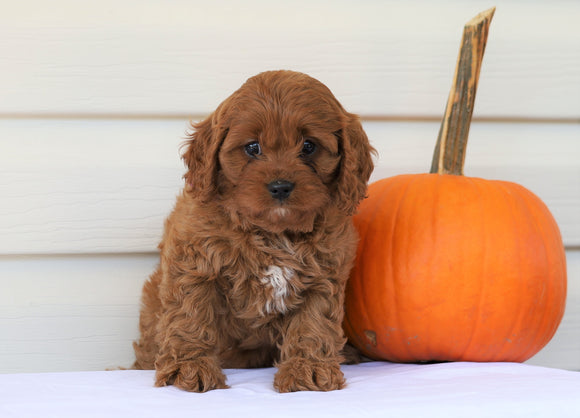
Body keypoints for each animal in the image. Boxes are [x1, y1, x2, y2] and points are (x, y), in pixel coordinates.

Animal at [132, 70, 376, 394]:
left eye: (309, 146)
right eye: (252, 147)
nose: (280, 186)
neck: (272, 232)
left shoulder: (324, 275)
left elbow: (313, 324)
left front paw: (308, 370)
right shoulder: (194, 264)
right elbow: (190, 316)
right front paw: (189, 368)